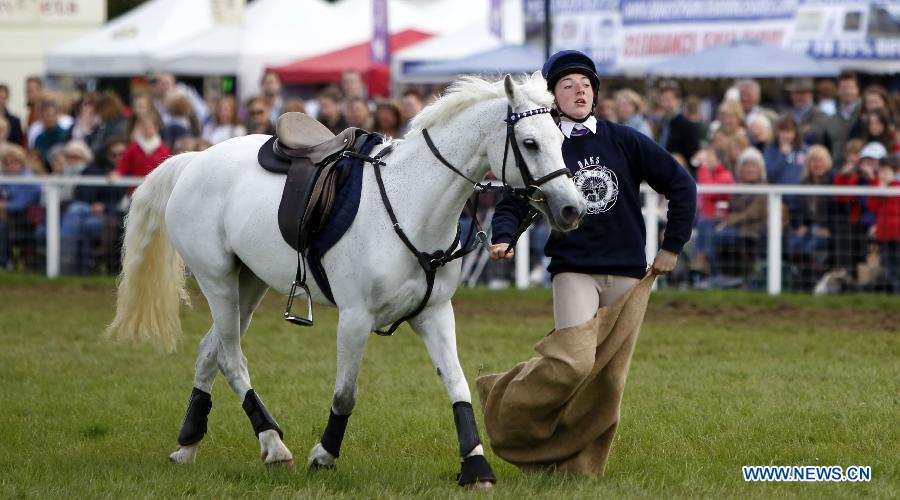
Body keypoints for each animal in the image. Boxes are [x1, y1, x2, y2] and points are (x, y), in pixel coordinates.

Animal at [107, 75, 584, 488]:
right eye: (530, 143)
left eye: (561, 139)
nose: (572, 209)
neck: (412, 203)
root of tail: (195, 160)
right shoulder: (355, 318)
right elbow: (345, 395)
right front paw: (324, 456)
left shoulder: (434, 314)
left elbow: (457, 383)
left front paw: (475, 465)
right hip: (218, 281)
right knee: (230, 357)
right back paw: (273, 444)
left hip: (250, 283)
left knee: (210, 351)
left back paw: (188, 444)